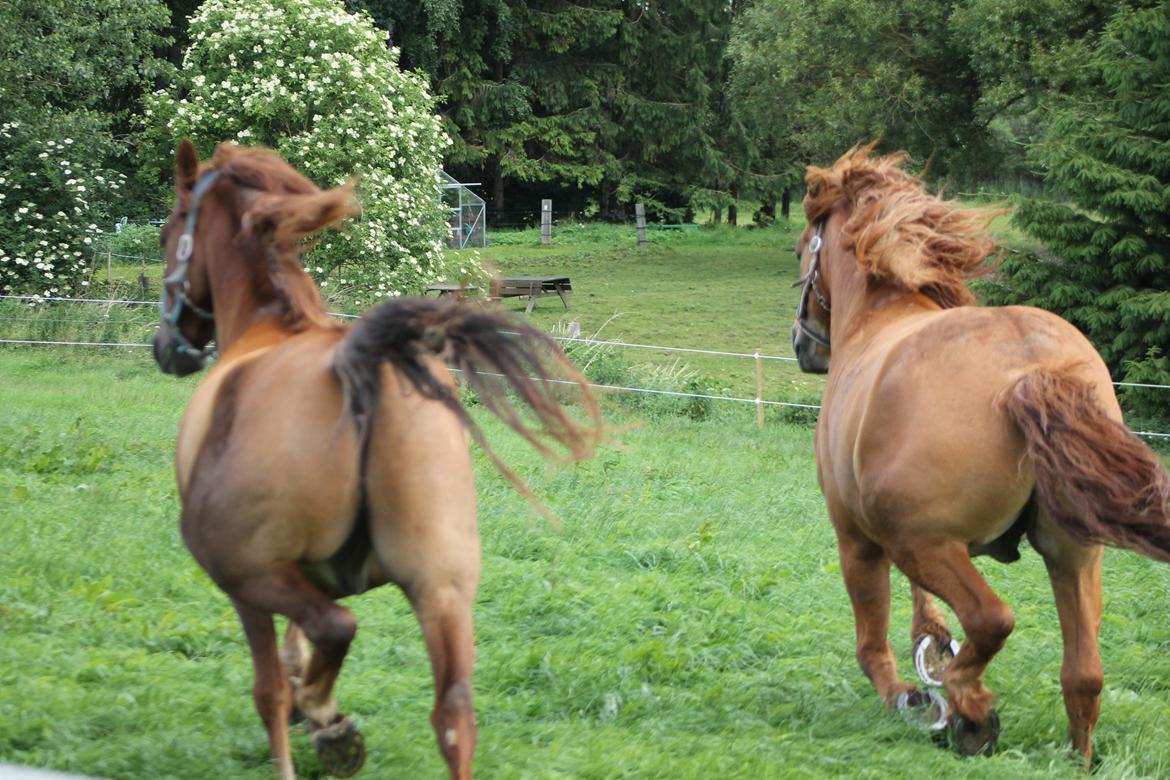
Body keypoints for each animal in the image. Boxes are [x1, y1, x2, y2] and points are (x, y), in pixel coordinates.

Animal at [150, 140, 599, 780]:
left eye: (169, 232)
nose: (168, 349)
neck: (270, 327)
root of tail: (361, 362)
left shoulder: (252, 586)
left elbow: (273, 685)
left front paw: (307, 716)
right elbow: (298, 652)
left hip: (246, 569)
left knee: (331, 636)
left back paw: (329, 722)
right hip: (442, 589)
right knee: (454, 714)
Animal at [790, 145, 1170, 762]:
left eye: (801, 249)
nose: (804, 345)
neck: (879, 319)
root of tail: (1030, 366)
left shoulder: (862, 541)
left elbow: (874, 649)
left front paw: (919, 698)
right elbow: (924, 615)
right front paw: (932, 645)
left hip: (928, 545)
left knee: (992, 620)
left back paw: (968, 709)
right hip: (1073, 554)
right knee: (1083, 675)